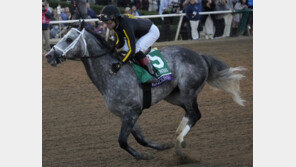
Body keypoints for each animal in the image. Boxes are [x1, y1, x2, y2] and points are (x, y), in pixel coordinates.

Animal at [45, 24, 245, 160]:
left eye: (69, 39)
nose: (48, 56)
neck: (111, 73)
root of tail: (200, 56)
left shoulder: (132, 111)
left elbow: (122, 140)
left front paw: (143, 156)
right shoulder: (125, 114)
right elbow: (140, 138)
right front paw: (161, 147)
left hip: (189, 91)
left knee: (195, 114)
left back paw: (179, 144)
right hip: (174, 96)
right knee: (189, 114)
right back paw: (177, 138)